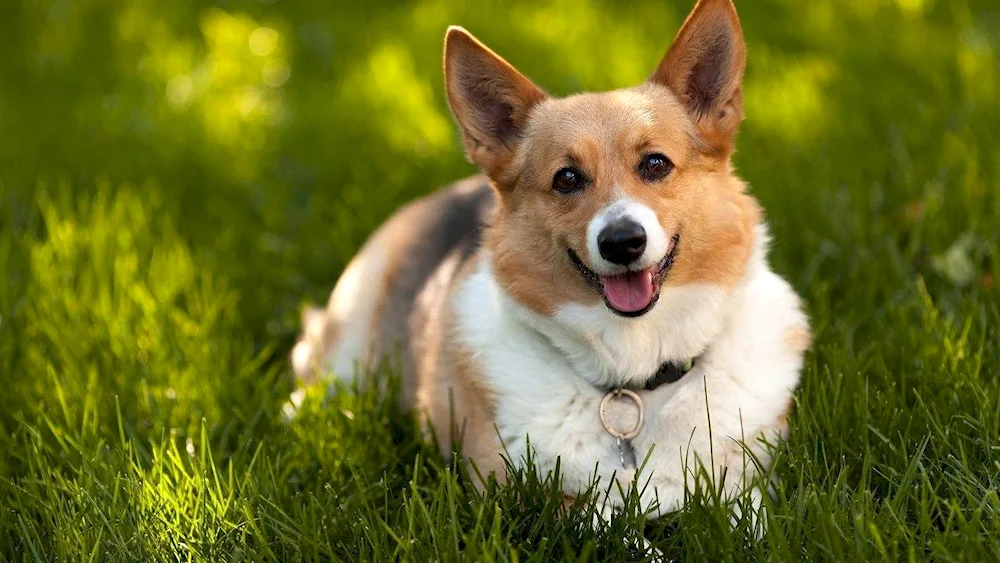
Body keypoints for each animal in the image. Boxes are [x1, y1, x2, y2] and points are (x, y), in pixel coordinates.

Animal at [292, 0, 812, 524]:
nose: (622, 242)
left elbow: (751, 517)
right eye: (566, 178)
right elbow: (608, 521)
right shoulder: (524, 499)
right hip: (349, 348)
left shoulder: (751, 481)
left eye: (656, 164)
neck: (631, 379)